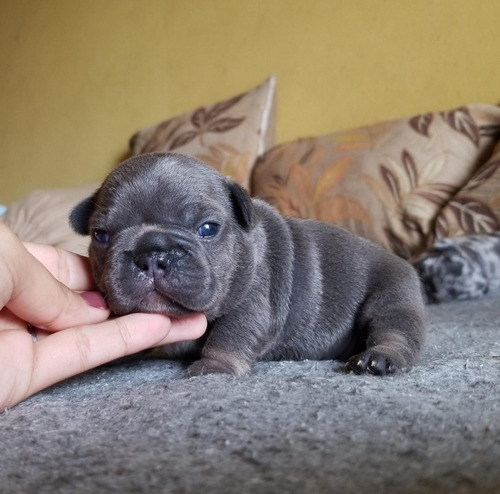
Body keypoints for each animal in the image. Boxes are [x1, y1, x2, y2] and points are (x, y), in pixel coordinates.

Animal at [70, 152, 426, 376]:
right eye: (101, 235)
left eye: (208, 229)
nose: (152, 253)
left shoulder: (254, 302)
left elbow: (231, 334)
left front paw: (214, 368)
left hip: (393, 296)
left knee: (396, 330)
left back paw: (378, 358)